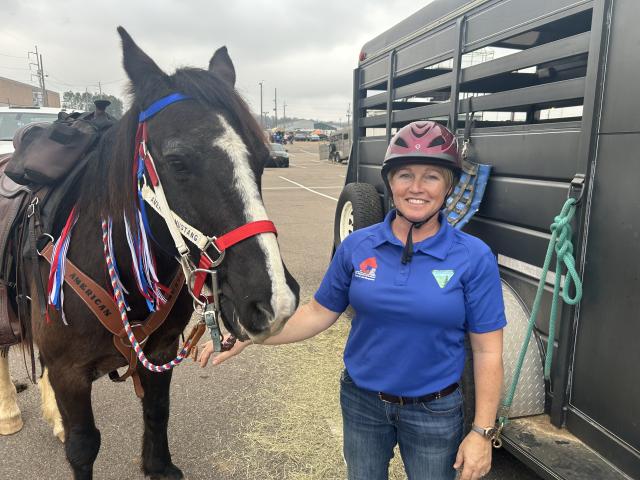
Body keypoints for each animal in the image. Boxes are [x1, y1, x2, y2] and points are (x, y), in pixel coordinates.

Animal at [0, 26, 300, 480]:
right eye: (177, 161)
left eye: (264, 158)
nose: (274, 300)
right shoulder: (71, 374)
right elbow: (83, 447)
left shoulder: (160, 350)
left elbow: (158, 412)